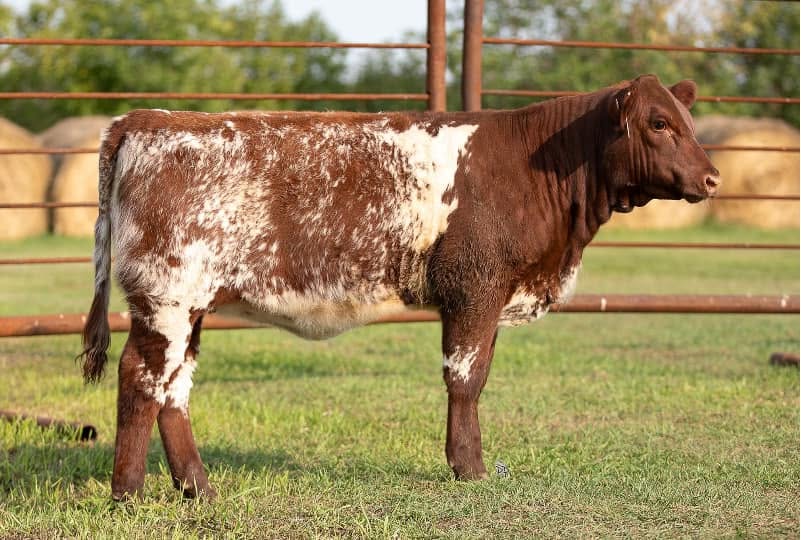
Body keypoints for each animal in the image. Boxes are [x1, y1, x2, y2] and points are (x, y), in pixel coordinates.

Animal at [80, 74, 720, 500]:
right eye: (658, 123)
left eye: (687, 122)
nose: (713, 178)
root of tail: (149, 119)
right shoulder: (474, 288)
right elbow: (465, 380)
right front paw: (469, 468)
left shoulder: (491, 296)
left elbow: (477, 375)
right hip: (165, 295)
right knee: (141, 378)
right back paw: (129, 492)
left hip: (191, 304)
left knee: (174, 388)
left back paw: (198, 488)